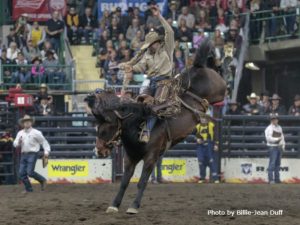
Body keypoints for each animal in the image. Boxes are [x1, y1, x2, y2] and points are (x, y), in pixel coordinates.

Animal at [84, 38, 225, 214]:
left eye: (106, 128)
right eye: (97, 127)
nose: (99, 151)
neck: (137, 125)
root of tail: (197, 68)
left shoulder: (151, 157)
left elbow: (142, 182)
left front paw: (133, 206)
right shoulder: (130, 158)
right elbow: (124, 182)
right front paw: (114, 204)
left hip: (219, 91)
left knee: (222, 79)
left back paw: (218, 62)